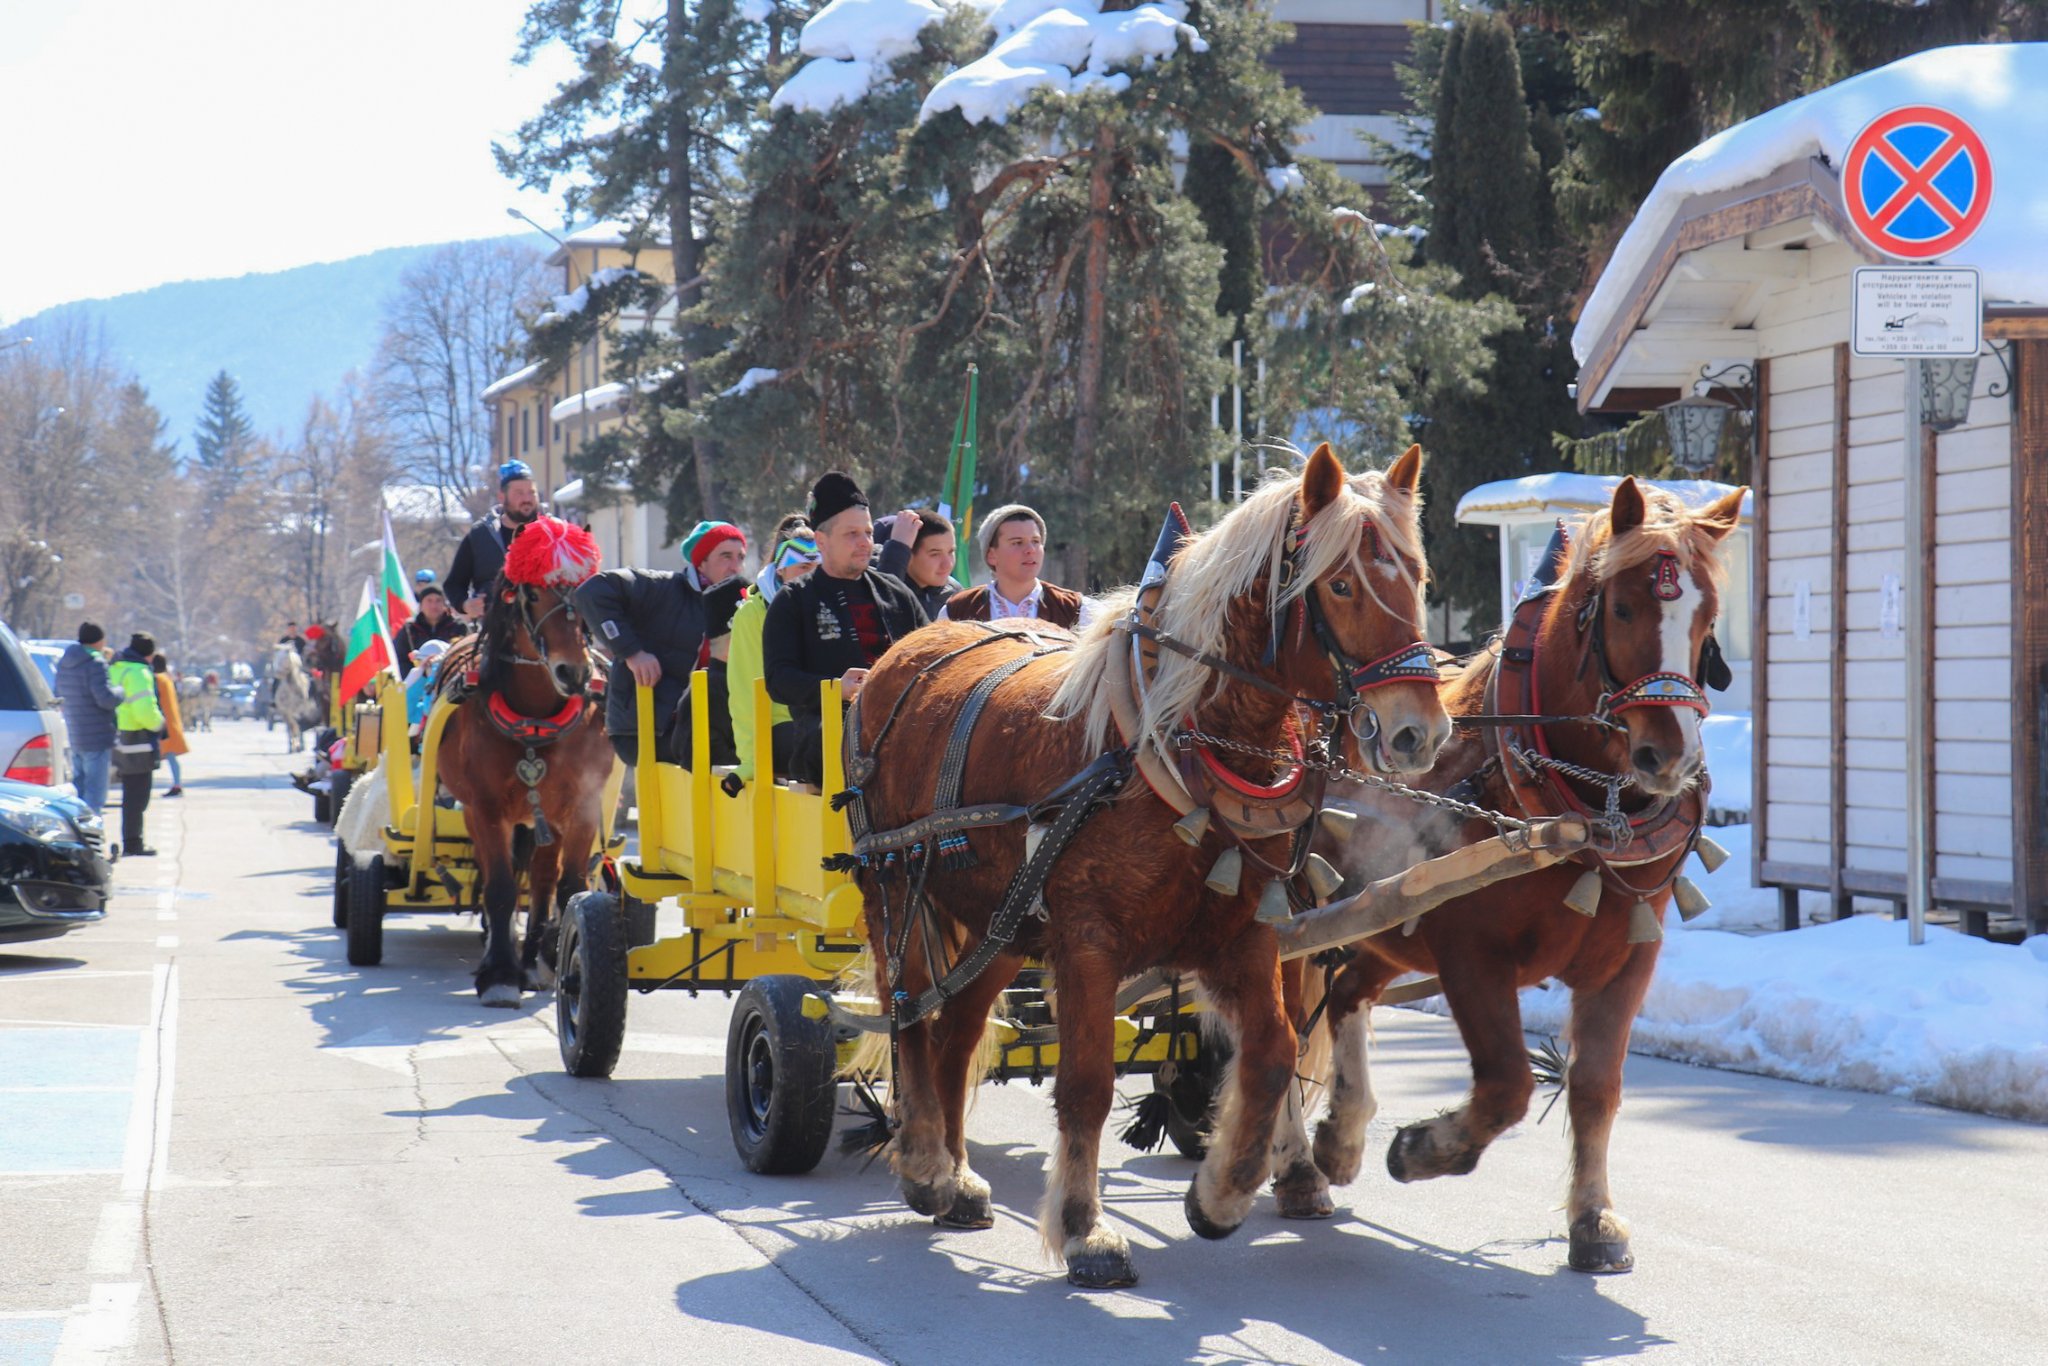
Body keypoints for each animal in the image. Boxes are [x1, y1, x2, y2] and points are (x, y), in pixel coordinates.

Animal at [434, 518, 610, 1011]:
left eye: (584, 590)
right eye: (530, 593)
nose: (574, 673)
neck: (535, 716)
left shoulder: (582, 805)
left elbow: (568, 886)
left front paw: (555, 953)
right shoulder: (486, 809)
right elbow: (499, 889)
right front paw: (499, 974)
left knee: (544, 879)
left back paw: (533, 959)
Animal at [847, 444, 1458, 1286]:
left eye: (1418, 576)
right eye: (1341, 584)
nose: (1416, 732)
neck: (1172, 745)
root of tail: (902, 655)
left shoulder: (1242, 931)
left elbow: (1274, 1053)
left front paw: (1225, 1191)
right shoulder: (1087, 942)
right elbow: (1086, 1084)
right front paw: (1084, 1228)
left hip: (1000, 922)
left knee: (960, 1032)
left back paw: (961, 1177)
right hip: (897, 891)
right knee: (909, 1014)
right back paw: (926, 1167)